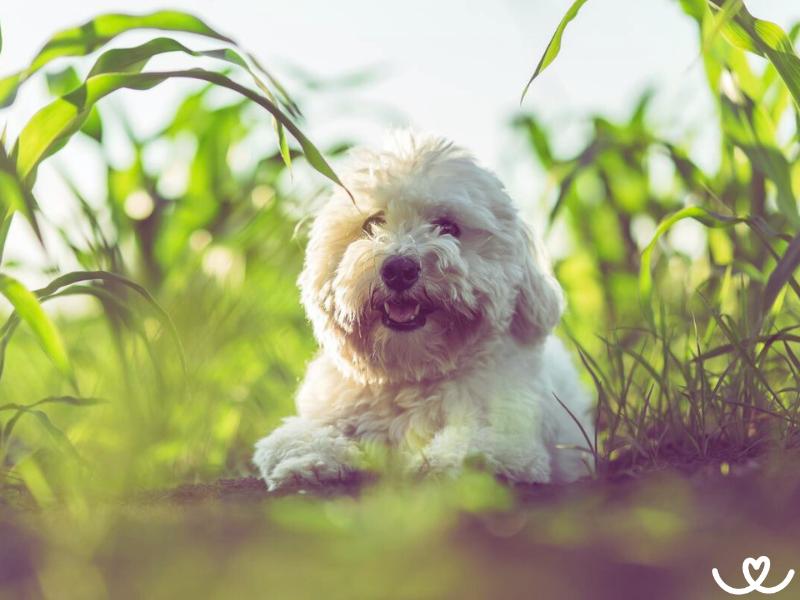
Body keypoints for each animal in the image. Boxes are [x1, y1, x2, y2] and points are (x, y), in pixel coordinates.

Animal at [253, 132, 592, 492]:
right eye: (372, 223)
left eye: (448, 226)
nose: (399, 269)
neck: (412, 374)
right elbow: (296, 437)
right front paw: (309, 461)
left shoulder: (510, 436)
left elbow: (475, 447)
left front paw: (439, 464)